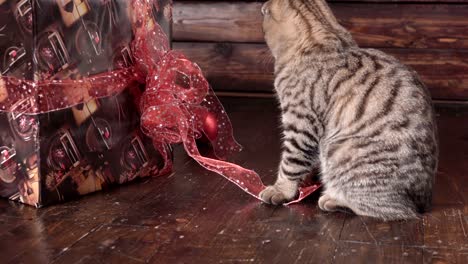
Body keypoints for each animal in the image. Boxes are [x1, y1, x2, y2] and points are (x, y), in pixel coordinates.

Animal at [260, 0, 438, 221]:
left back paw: (333, 199)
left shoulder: (301, 123)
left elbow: (290, 163)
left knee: (390, 209)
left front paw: (280, 190)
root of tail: (422, 204)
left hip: (340, 150)